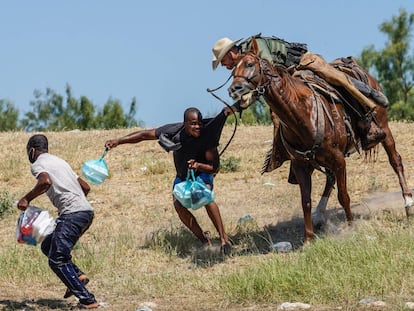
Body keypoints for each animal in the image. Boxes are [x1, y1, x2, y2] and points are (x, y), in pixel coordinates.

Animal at [230, 37, 414, 246]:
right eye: (232, 70)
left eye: (250, 64)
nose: (234, 89)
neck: (302, 114)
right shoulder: (301, 165)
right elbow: (306, 201)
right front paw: (308, 239)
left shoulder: (339, 159)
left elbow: (343, 196)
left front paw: (351, 227)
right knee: (330, 178)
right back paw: (319, 214)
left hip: (384, 129)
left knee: (395, 160)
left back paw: (408, 203)